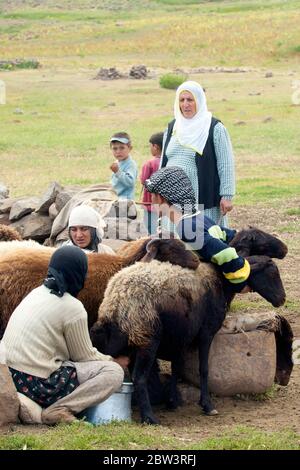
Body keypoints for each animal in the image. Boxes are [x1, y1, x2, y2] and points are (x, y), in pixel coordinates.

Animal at [90, 255, 288, 424]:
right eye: (272, 273)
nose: (282, 299)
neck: (220, 282)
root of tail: (117, 300)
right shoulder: (206, 332)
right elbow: (204, 369)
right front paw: (207, 405)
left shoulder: (181, 337)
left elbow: (177, 367)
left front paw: (173, 401)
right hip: (147, 339)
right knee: (139, 378)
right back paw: (149, 417)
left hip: (115, 339)